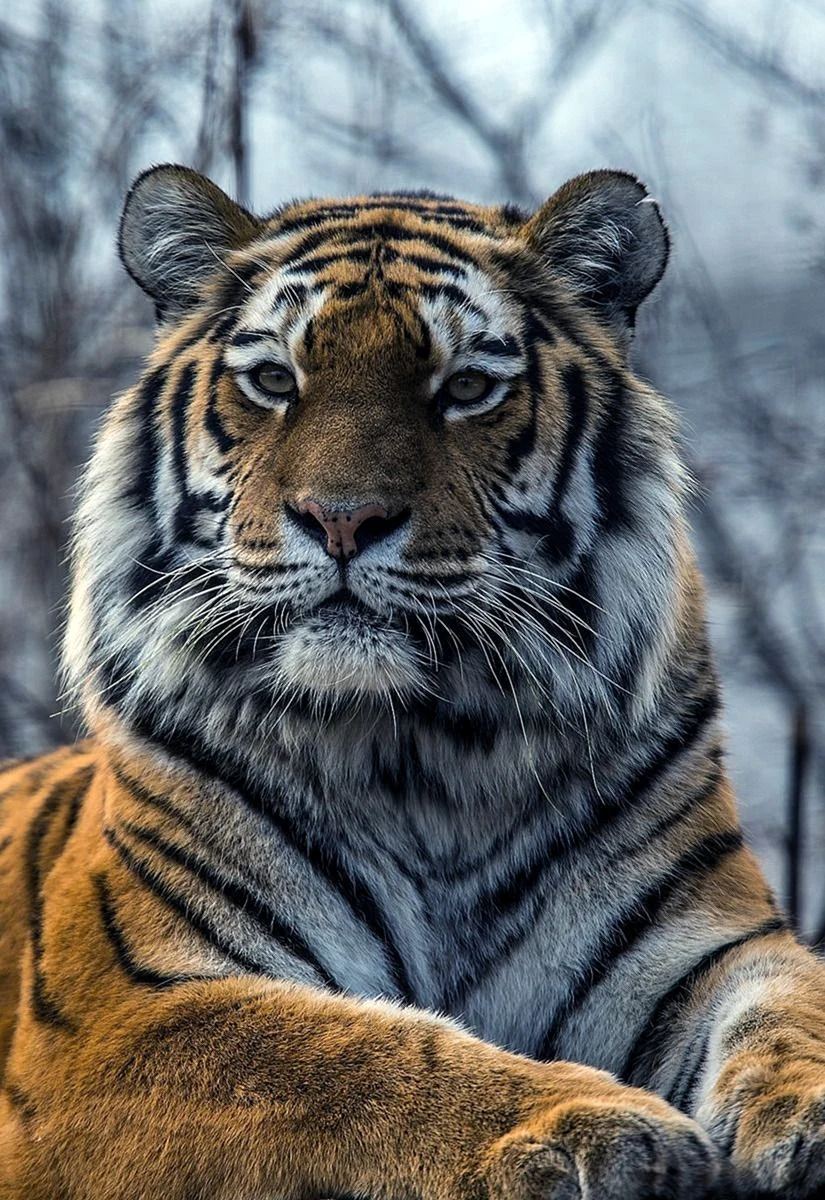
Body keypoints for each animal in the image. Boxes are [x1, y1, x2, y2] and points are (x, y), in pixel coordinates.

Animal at [1, 162, 825, 1200]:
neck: (426, 753)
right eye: (274, 381)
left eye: (465, 387)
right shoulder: (116, 1012)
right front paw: (592, 1125)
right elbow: (348, 1058)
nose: (342, 518)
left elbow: (792, 1011)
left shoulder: (710, 947)